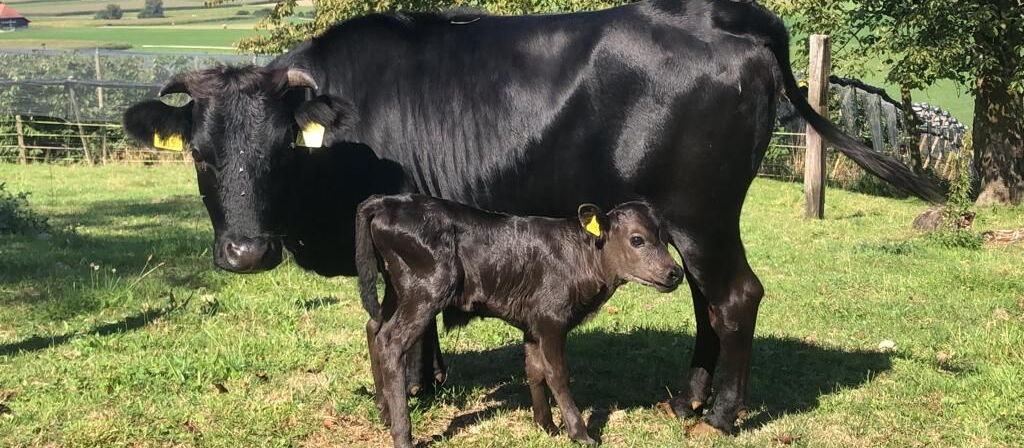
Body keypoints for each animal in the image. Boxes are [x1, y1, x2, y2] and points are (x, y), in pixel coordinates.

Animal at [355, 194, 684, 447]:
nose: (675, 273)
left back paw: (384, 410)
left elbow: (534, 370)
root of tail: (386, 201)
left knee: (375, 327)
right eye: (637, 239)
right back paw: (402, 435)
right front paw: (579, 433)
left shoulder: (533, 324)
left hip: (398, 289)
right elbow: (557, 374)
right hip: (426, 289)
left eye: (666, 239)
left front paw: (546, 425)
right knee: (391, 342)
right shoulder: (552, 319)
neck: (583, 256)